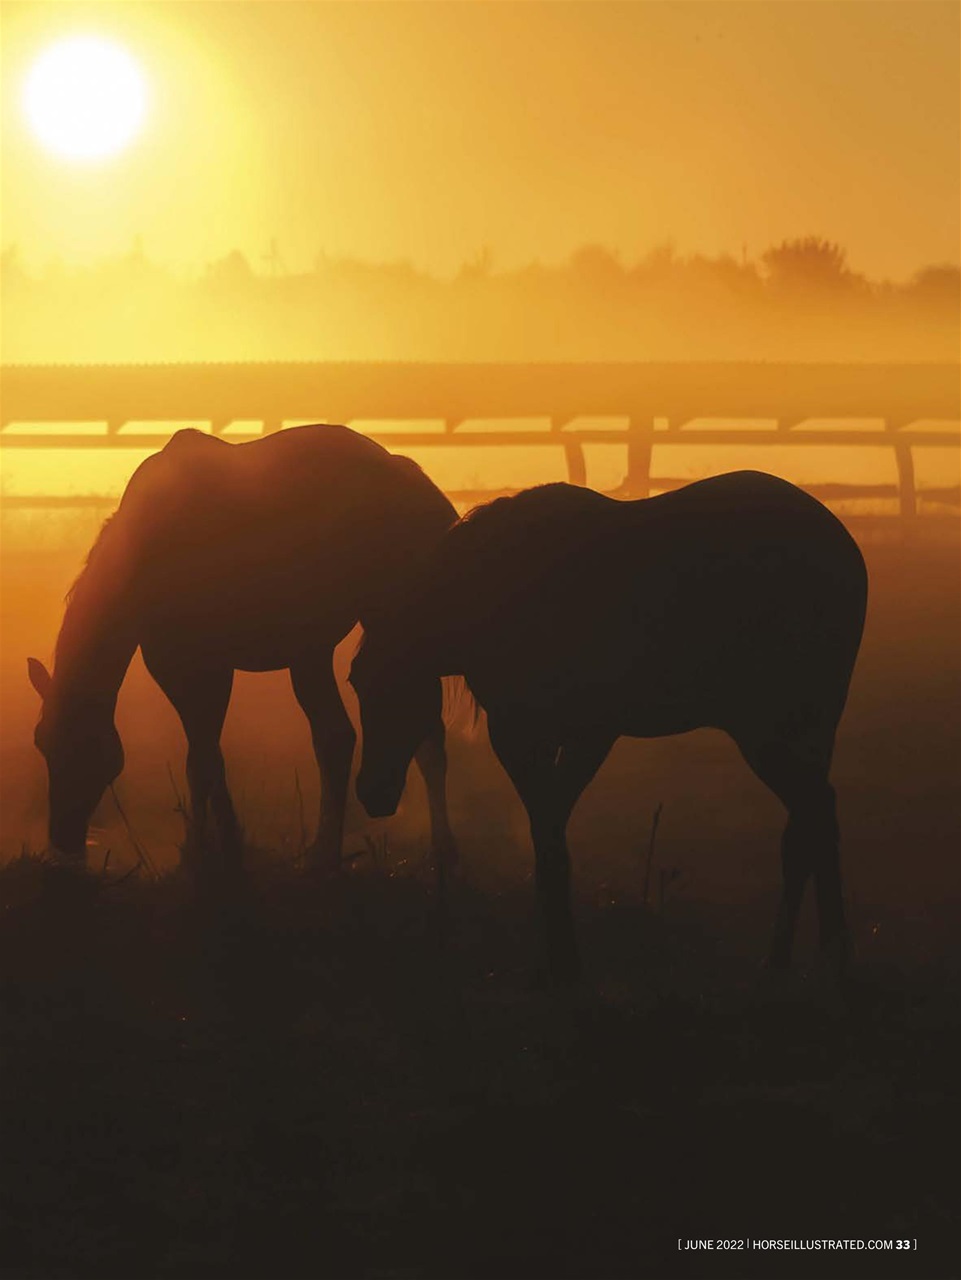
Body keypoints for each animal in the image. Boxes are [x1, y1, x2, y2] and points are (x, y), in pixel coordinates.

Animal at [28, 423, 459, 874]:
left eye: (90, 749)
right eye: (42, 742)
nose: (63, 840)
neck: (148, 551)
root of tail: (411, 476)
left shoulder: (199, 669)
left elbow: (202, 761)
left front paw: (203, 855)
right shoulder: (182, 670)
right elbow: (208, 758)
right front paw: (221, 846)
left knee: (379, 735)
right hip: (341, 646)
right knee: (383, 736)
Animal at [349, 471, 868, 984]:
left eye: (396, 684)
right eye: (355, 680)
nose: (372, 792)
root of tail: (843, 548)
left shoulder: (570, 736)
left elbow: (551, 839)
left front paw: (564, 965)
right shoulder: (531, 739)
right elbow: (546, 834)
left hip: (765, 732)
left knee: (810, 819)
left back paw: (807, 958)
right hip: (802, 733)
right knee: (812, 821)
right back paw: (812, 957)